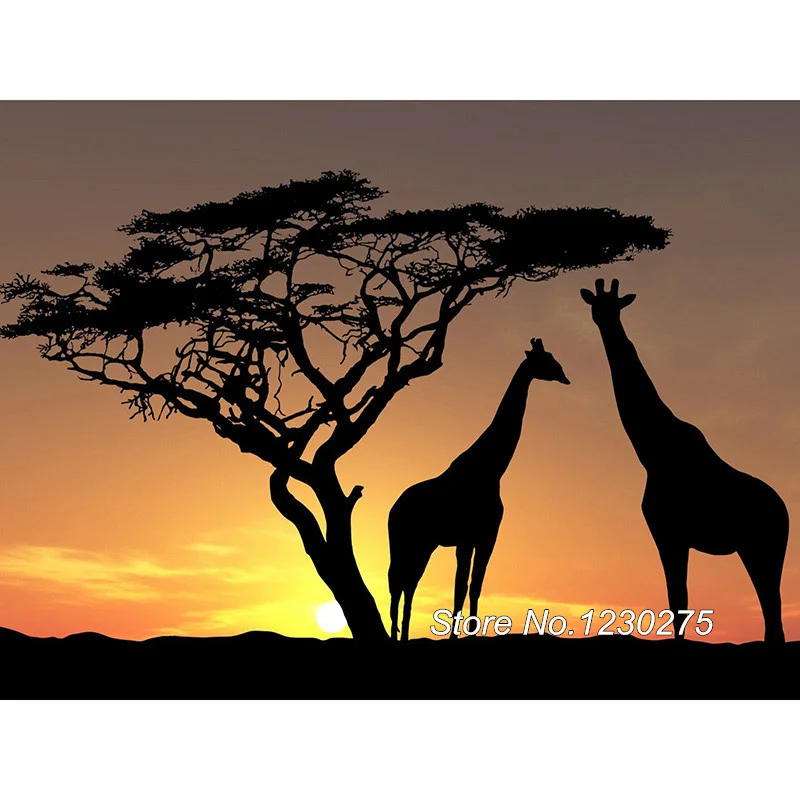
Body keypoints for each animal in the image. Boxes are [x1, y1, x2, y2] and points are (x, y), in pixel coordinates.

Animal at [387, 338, 570, 641]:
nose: (565, 376)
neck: (492, 469)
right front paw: (454, 636)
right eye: (546, 360)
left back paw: (401, 634)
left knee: (407, 582)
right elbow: (460, 586)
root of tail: (393, 508)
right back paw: (396, 634)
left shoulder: (485, 536)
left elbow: (475, 586)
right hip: (406, 540)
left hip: (423, 544)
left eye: (554, 359)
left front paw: (471, 633)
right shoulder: (467, 537)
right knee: (398, 580)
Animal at [581, 278, 789, 644]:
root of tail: (786, 512)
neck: (653, 451)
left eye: (616, 306)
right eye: (597, 305)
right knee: (771, 612)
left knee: (772, 607)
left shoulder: (671, 533)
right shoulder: (667, 533)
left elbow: (679, 600)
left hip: (766, 546)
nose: (604, 321)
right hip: (752, 548)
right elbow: (676, 599)